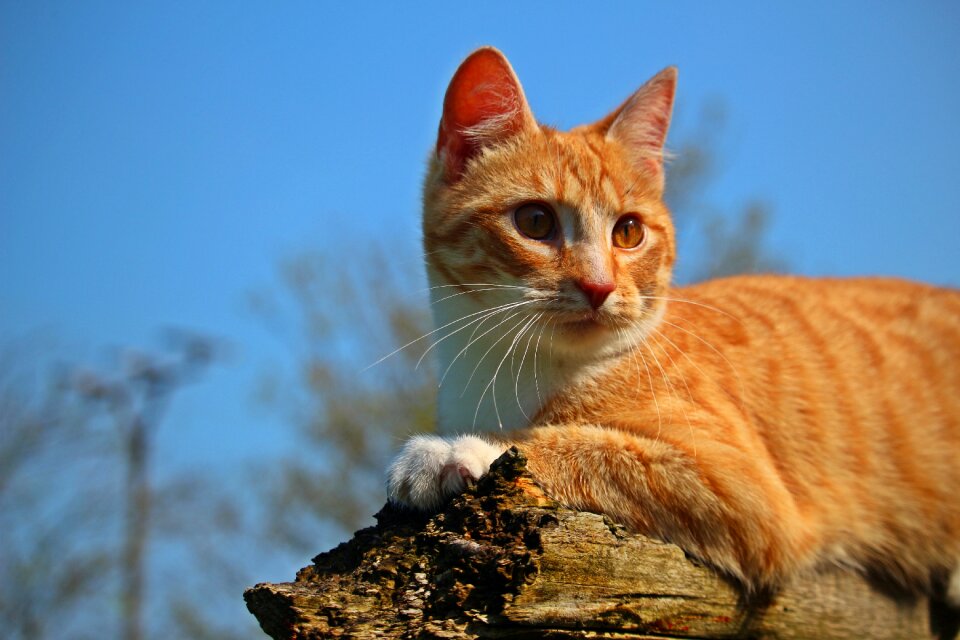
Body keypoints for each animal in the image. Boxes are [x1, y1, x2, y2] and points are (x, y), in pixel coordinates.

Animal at [386, 47, 956, 604]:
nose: (599, 286)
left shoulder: (736, 483)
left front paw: (459, 449)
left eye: (628, 232)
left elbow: (579, 445)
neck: (506, 366)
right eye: (535, 222)